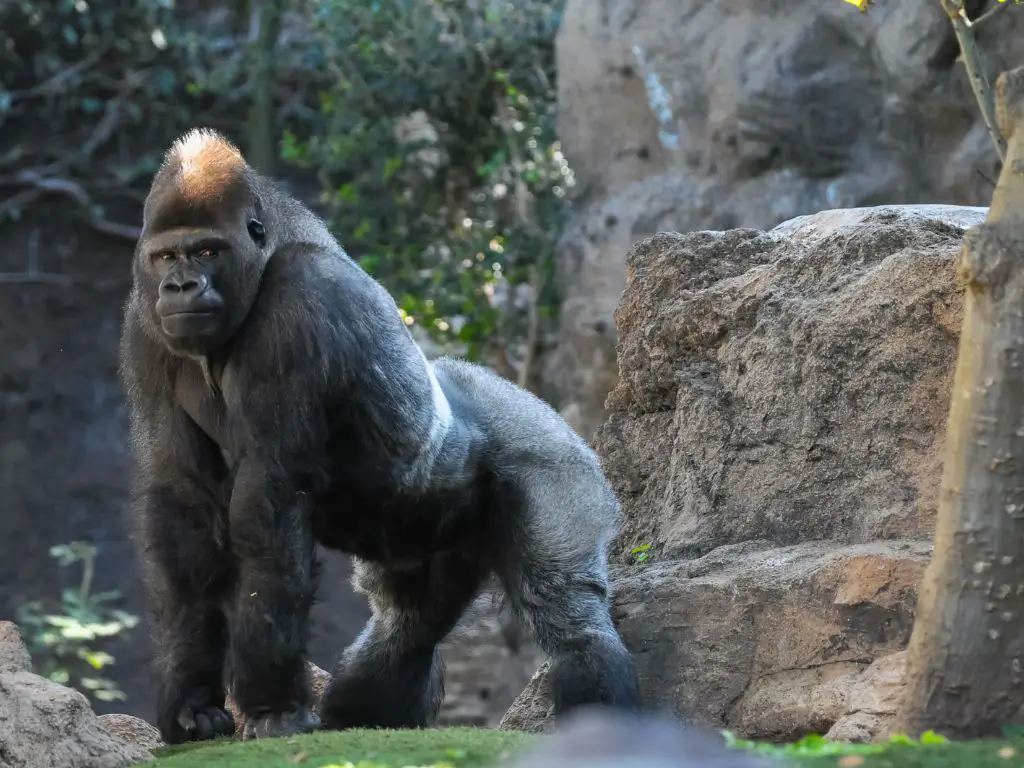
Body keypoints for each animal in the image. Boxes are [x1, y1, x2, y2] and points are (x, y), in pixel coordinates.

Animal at [116, 128, 634, 745]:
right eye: (166, 256)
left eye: (207, 251)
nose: (180, 284)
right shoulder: (145, 325)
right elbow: (184, 507)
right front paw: (192, 699)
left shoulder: (302, 298)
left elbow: (266, 502)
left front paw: (270, 704)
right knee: (406, 629)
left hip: (555, 458)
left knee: (569, 615)